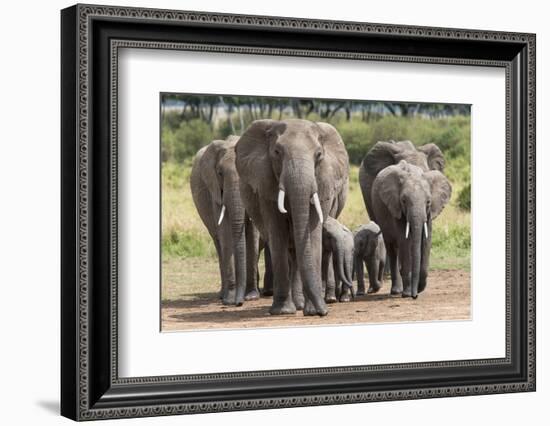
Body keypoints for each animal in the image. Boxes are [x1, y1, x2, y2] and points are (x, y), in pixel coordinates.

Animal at [191, 136, 262, 306]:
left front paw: (252, 296)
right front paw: (230, 300)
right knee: (218, 242)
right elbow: (225, 232)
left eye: (246, 172)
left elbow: (253, 234)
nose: (239, 302)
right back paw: (222, 295)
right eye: (220, 173)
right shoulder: (215, 190)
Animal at [236, 118, 350, 314]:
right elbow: (277, 231)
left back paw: (300, 305)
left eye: (319, 154)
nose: (324, 312)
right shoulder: (266, 185)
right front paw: (283, 311)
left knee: (296, 252)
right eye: (277, 152)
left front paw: (312, 311)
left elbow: (312, 233)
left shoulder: (323, 180)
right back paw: (295, 306)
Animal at [370, 161, 452, 298]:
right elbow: (404, 240)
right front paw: (408, 293)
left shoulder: (429, 213)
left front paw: (419, 289)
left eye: (428, 201)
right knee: (392, 248)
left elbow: (426, 240)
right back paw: (397, 291)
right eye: (403, 201)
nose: (415, 295)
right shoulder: (396, 208)